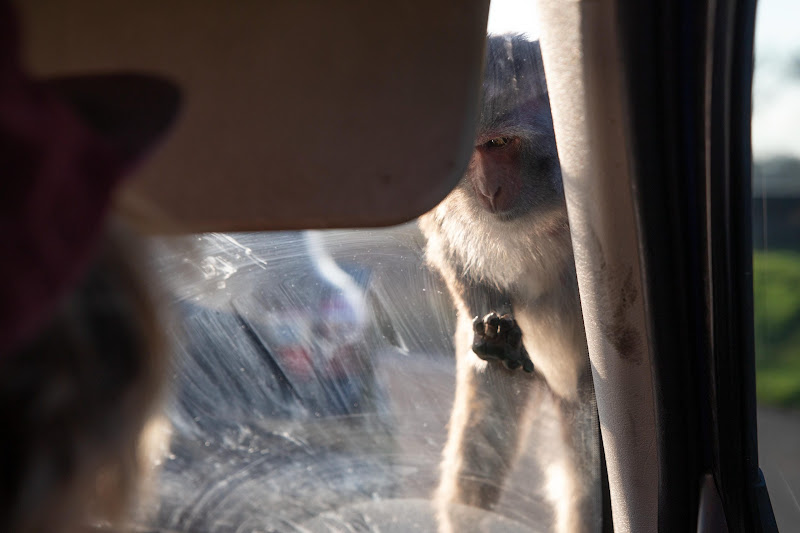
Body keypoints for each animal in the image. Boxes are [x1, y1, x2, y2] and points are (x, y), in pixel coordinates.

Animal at [420, 35, 602, 533]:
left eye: (499, 144)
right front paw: (496, 333)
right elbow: (453, 254)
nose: (488, 191)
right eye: (470, 153)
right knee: (482, 435)